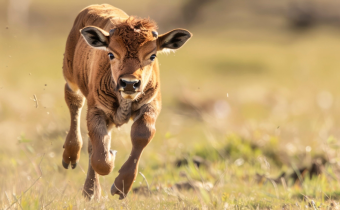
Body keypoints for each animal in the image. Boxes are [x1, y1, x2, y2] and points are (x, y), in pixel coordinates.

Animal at [61, 4, 191, 199]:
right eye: (111, 54)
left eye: (152, 56)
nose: (129, 83)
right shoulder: (96, 109)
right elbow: (100, 158)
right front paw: (111, 156)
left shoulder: (150, 105)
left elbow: (141, 135)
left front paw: (121, 186)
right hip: (70, 75)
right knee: (73, 101)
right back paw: (72, 161)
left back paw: (91, 192)